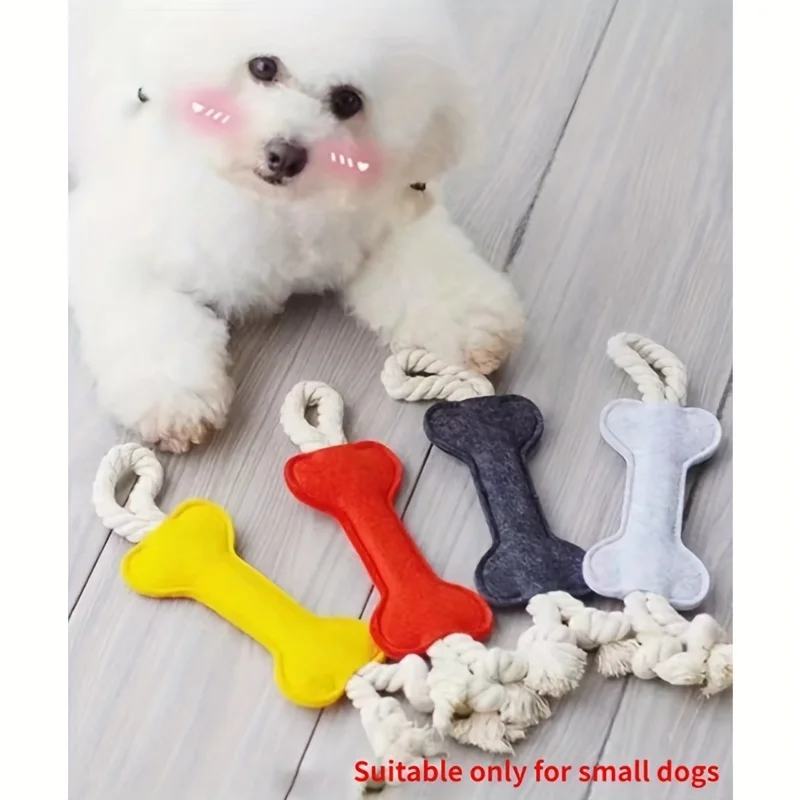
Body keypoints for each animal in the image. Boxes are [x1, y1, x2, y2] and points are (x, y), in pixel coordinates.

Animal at [69, 0, 524, 453]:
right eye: (263, 66)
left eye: (347, 100)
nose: (284, 155)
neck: (274, 204)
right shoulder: (118, 237)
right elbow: (150, 317)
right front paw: (175, 397)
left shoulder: (383, 218)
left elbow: (428, 270)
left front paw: (472, 325)